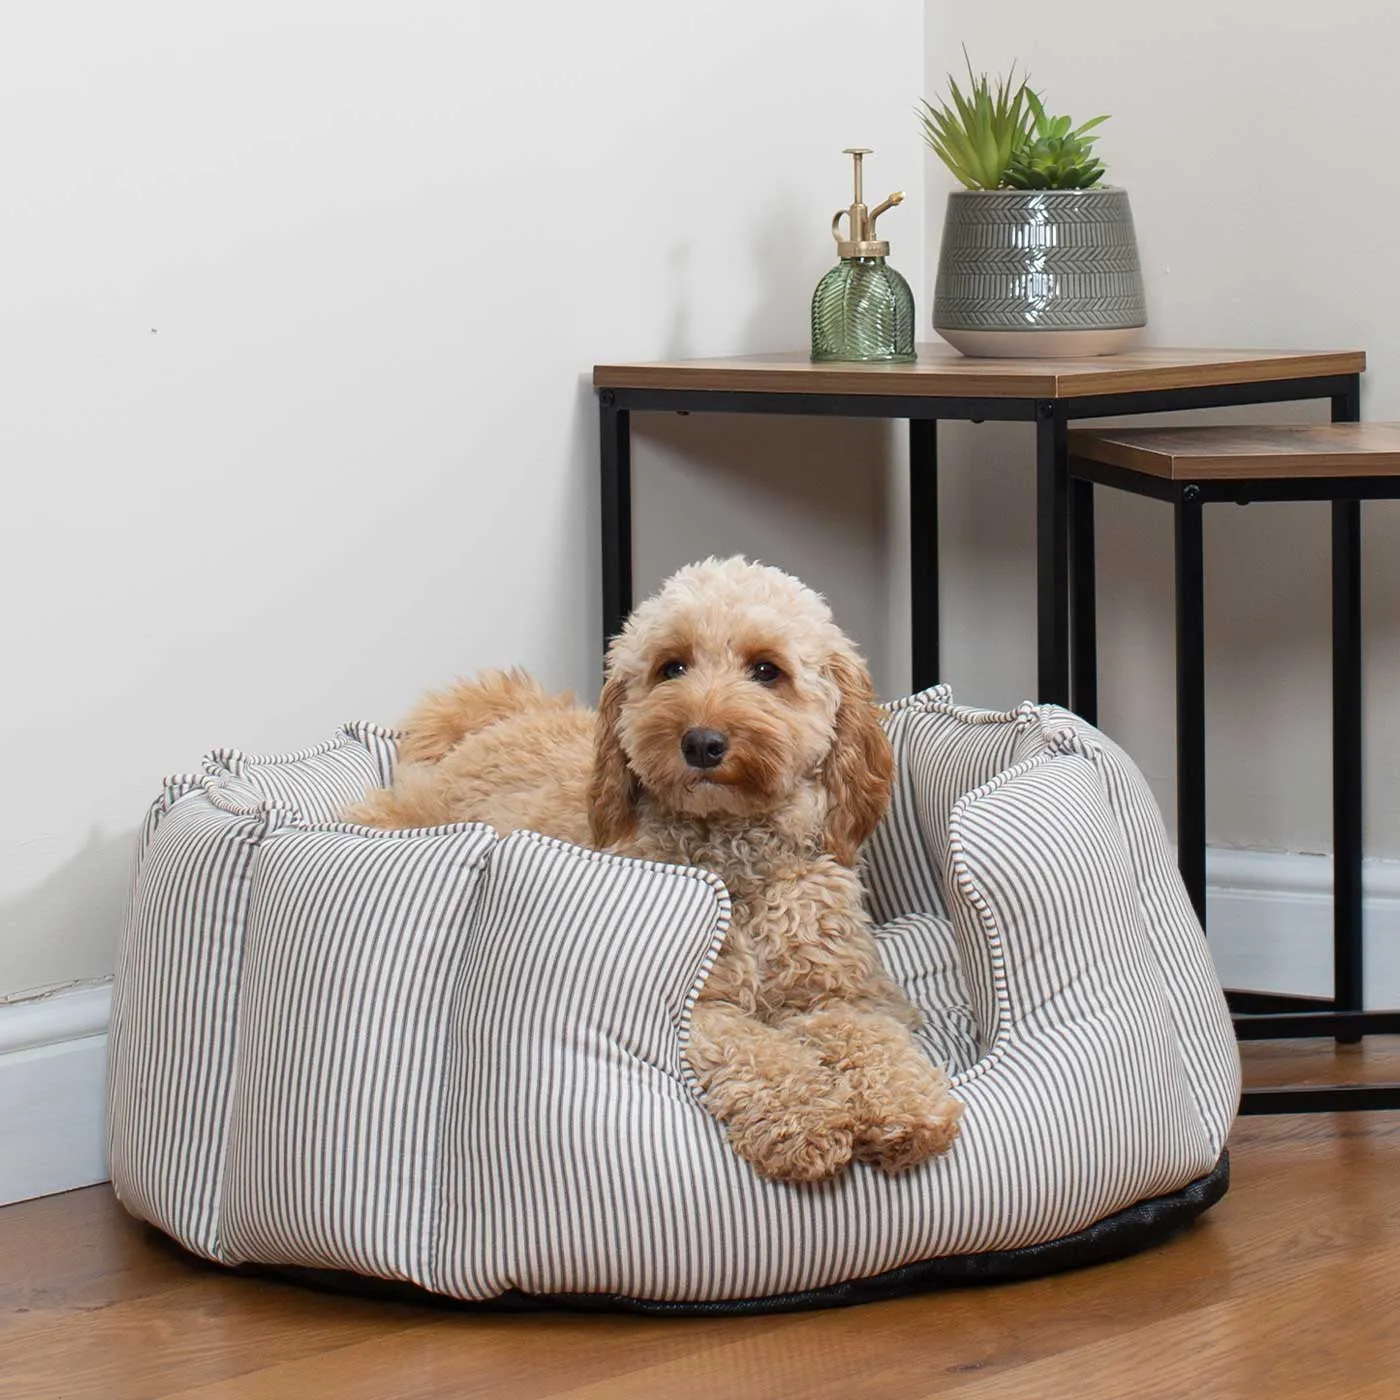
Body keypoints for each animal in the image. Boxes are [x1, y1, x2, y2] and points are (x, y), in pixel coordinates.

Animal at [350, 557, 963, 1181]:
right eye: (673, 667)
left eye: (767, 670)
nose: (702, 742)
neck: (735, 859)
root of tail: (502, 722)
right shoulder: (694, 1010)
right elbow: (759, 1052)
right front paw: (807, 1119)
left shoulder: (846, 994)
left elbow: (874, 1039)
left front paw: (906, 1108)